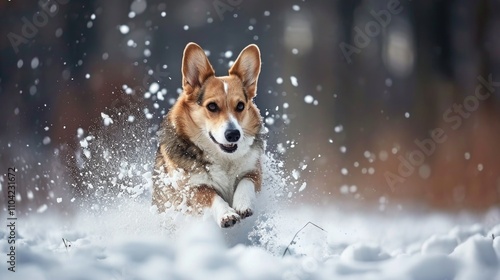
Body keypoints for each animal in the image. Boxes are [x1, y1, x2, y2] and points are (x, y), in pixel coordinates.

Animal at [152, 43, 266, 228]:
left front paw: (242, 204)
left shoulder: (253, 171)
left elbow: (245, 182)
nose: (233, 134)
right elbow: (211, 195)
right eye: (212, 106)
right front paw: (227, 214)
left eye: (240, 106)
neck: (223, 158)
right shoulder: (192, 188)